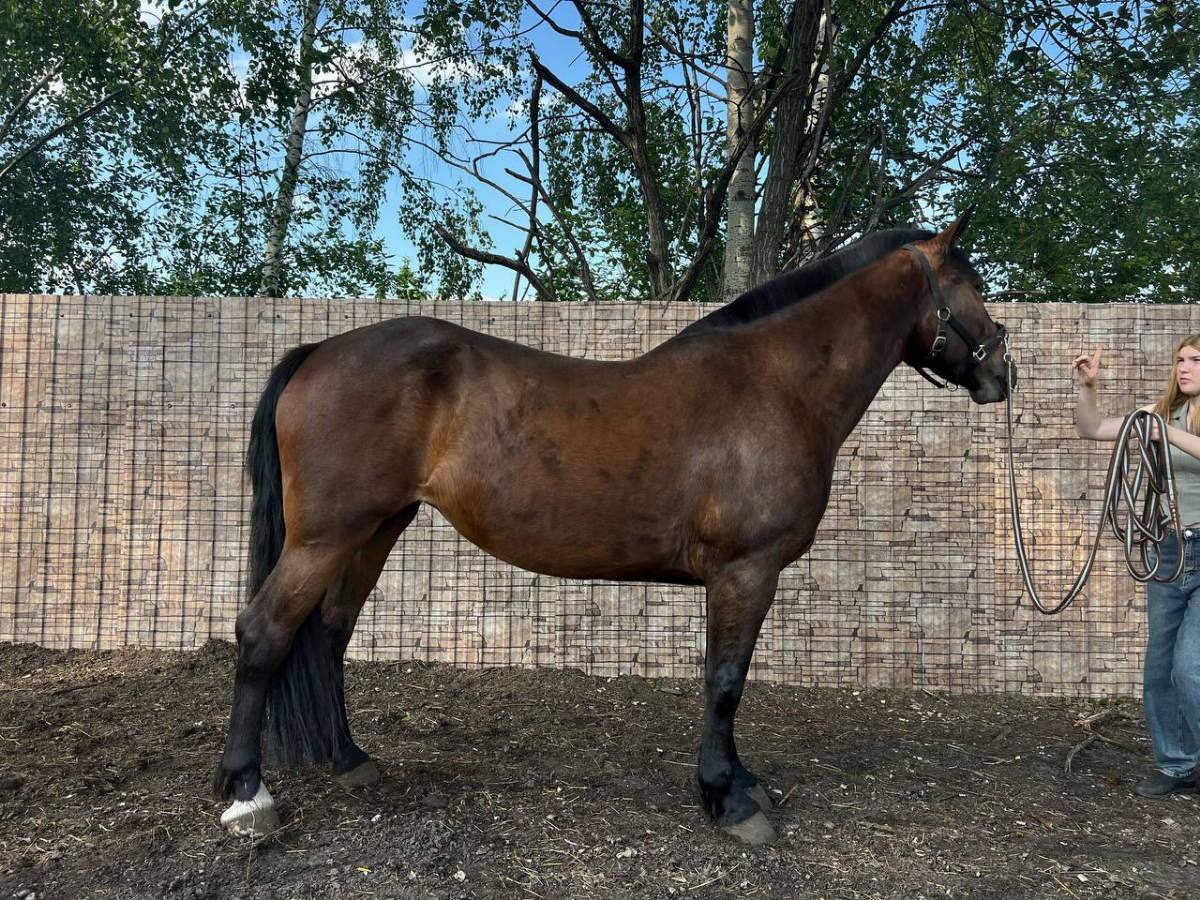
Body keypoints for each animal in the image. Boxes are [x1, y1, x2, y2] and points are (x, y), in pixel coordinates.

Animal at [212, 209, 1013, 845]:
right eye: (973, 285)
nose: (1003, 373)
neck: (777, 384)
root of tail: (319, 351)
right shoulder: (745, 571)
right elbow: (726, 681)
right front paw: (727, 801)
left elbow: (729, 678)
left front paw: (740, 780)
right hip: (325, 537)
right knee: (263, 634)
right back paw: (248, 795)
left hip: (376, 528)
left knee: (327, 635)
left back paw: (349, 760)